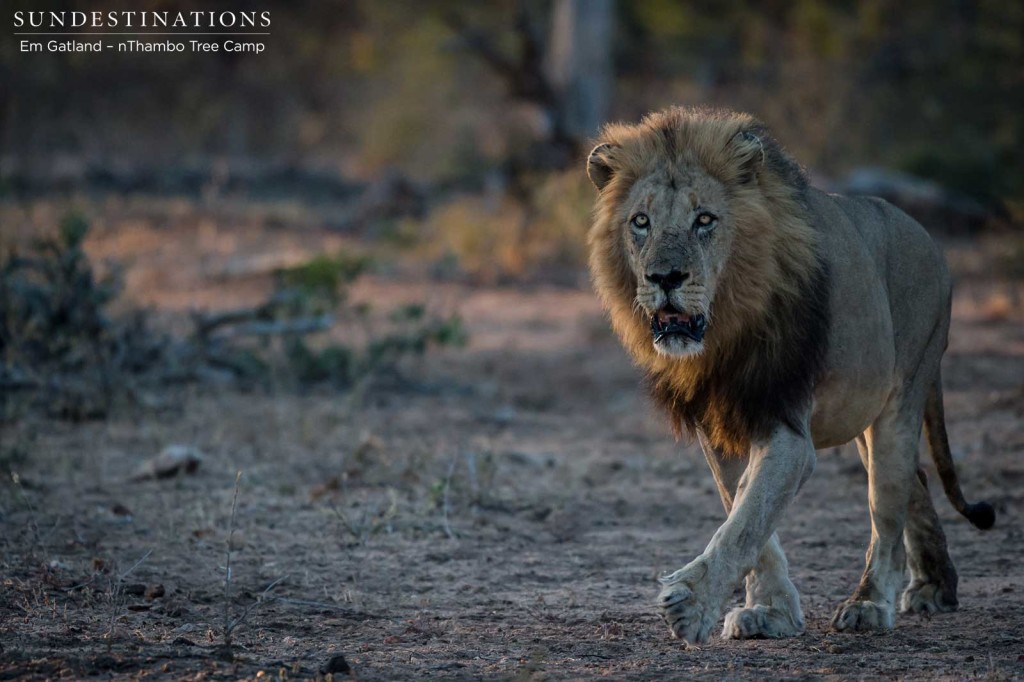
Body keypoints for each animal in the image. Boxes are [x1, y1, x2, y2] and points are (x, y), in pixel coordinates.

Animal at [589, 107, 995, 643]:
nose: (665, 278)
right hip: (859, 417)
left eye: (704, 220)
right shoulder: (719, 427)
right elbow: (745, 512)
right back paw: (934, 585)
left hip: (902, 397)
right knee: (917, 478)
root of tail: (925, 233)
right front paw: (771, 610)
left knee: (886, 507)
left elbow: (748, 516)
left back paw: (869, 602)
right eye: (641, 222)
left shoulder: (786, 426)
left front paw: (691, 604)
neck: (723, 335)